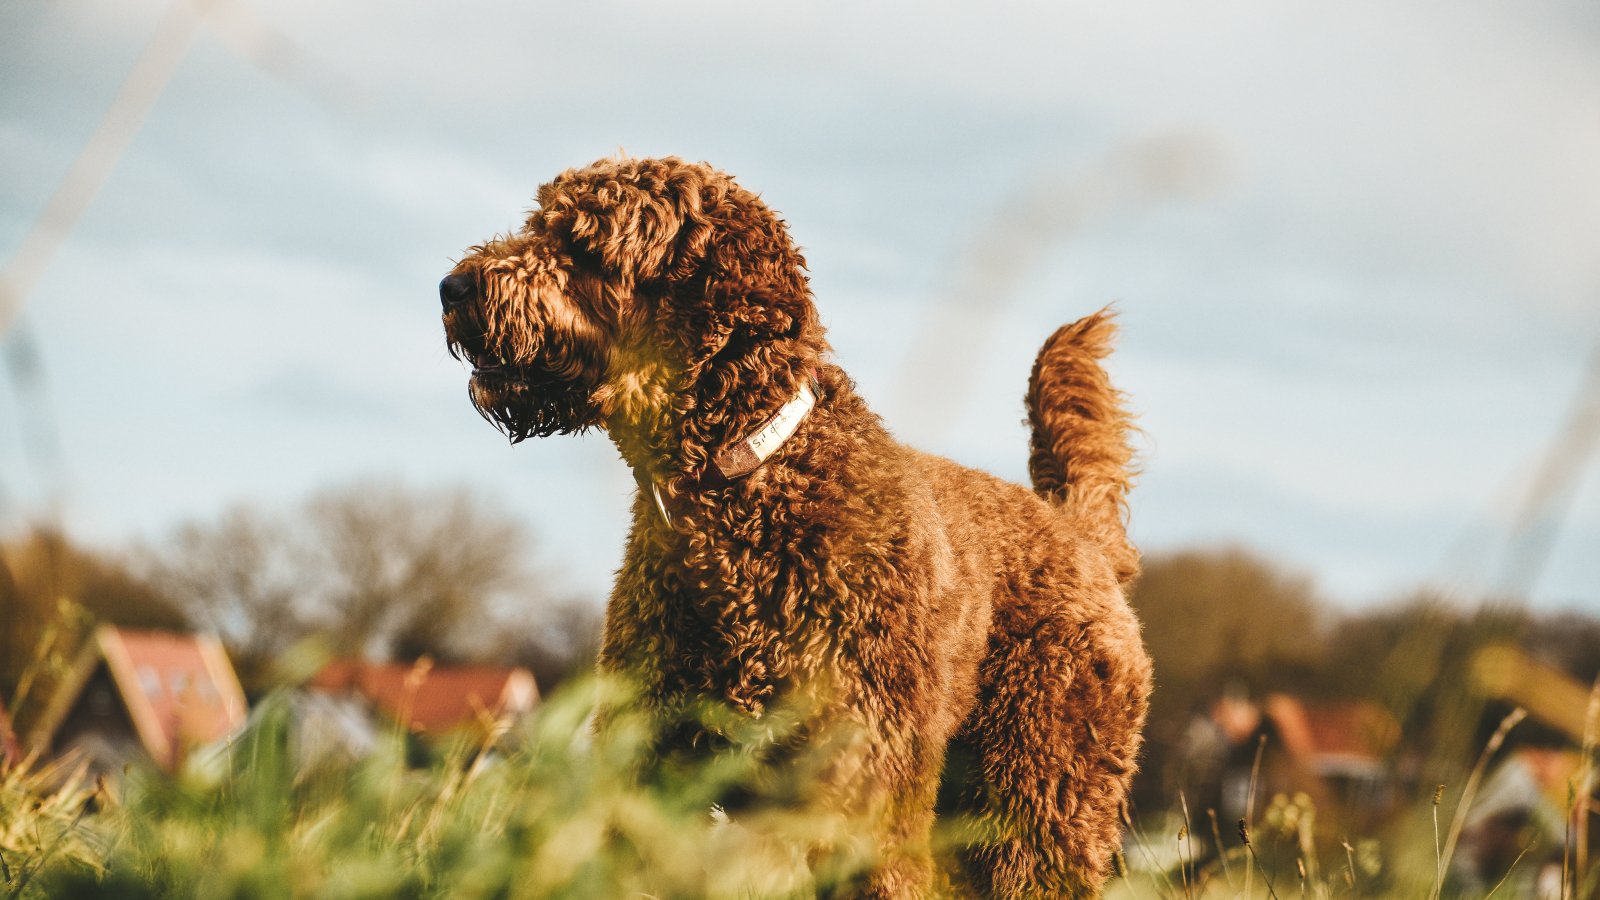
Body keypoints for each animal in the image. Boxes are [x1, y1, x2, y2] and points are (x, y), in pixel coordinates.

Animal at [440, 156, 1152, 898]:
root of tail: (1078, 532)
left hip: (1041, 789)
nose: (451, 286)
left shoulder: (864, 778)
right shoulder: (654, 761)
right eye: (537, 223)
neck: (740, 494)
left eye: (582, 245)